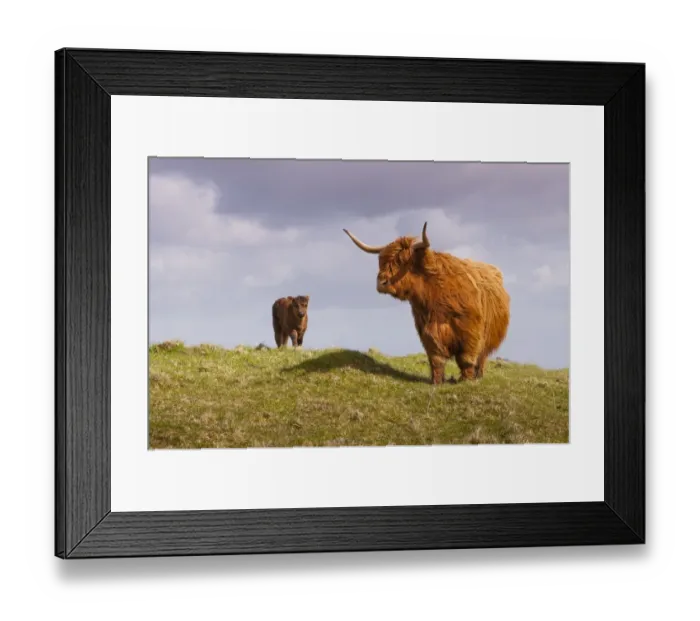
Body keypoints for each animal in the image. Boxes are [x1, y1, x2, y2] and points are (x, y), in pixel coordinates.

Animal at [343, 222, 510, 385]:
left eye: (403, 261)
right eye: (381, 261)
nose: (381, 283)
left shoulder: (471, 331)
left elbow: (467, 358)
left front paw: (466, 380)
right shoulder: (427, 331)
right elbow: (436, 359)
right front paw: (437, 382)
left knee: (482, 357)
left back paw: (478, 376)